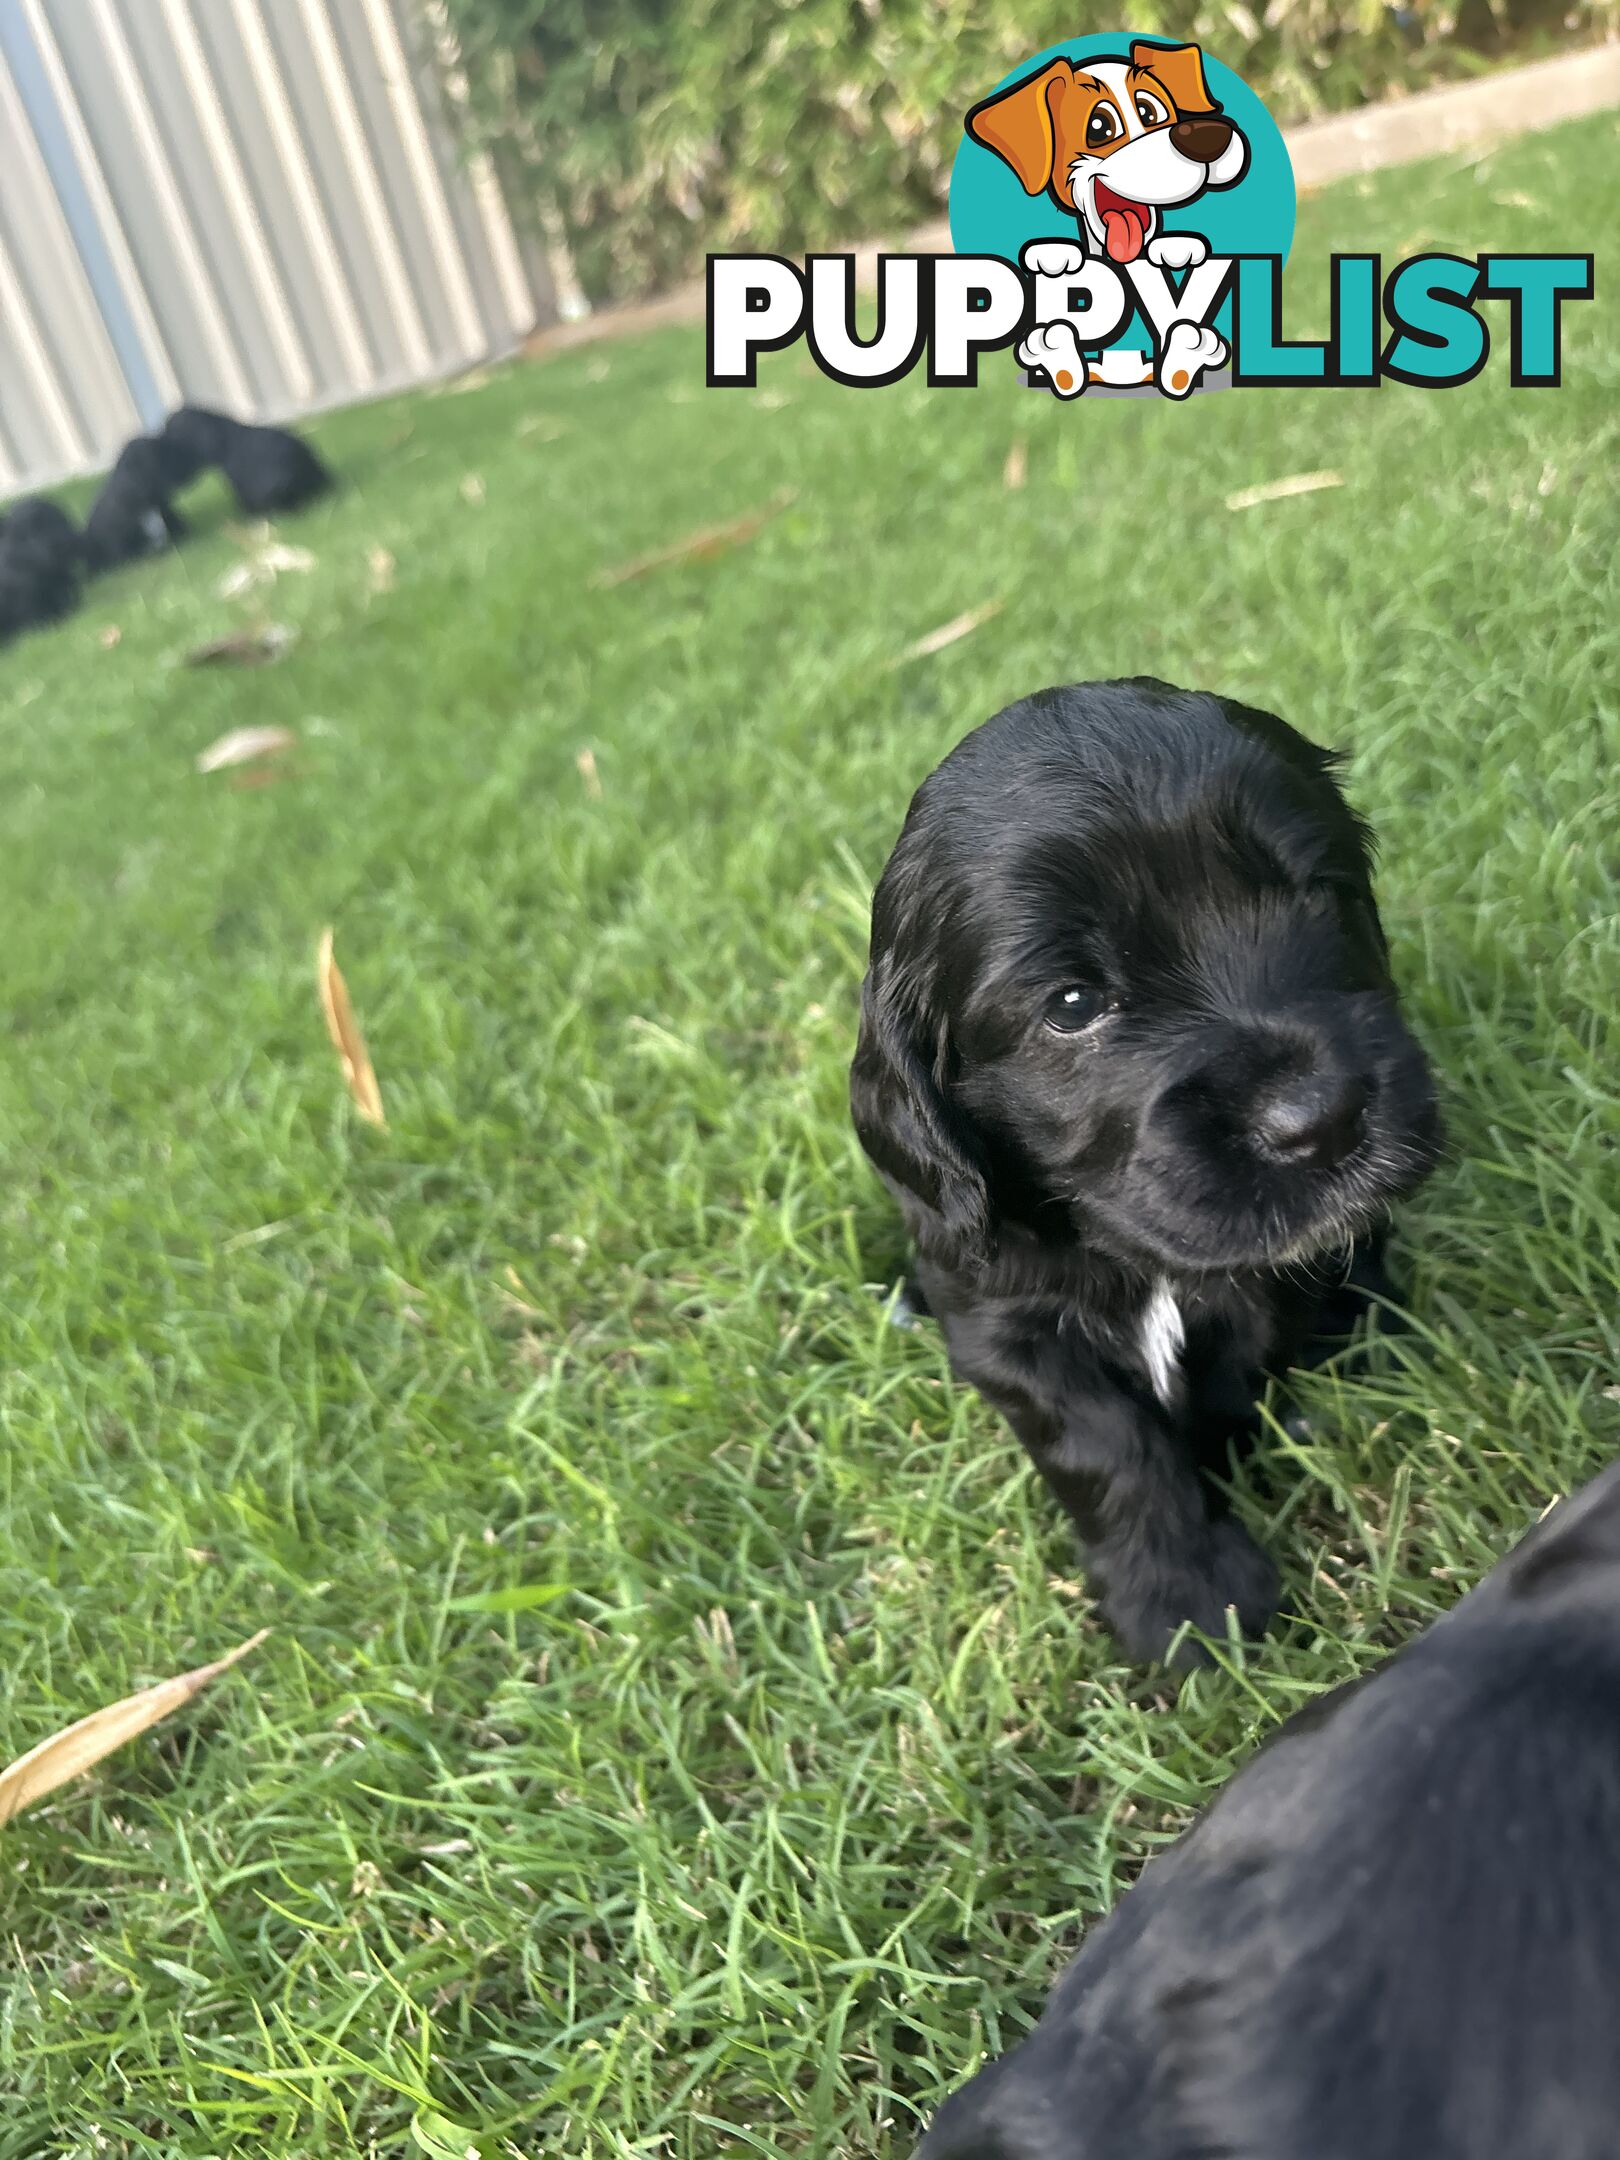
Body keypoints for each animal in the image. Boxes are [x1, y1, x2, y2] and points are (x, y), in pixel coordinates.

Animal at [855, 682, 1442, 1658]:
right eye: (1072, 1004)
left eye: (1322, 897)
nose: (1320, 1120)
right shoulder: (1004, 1322)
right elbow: (1106, 1444)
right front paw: (1187, 1600)